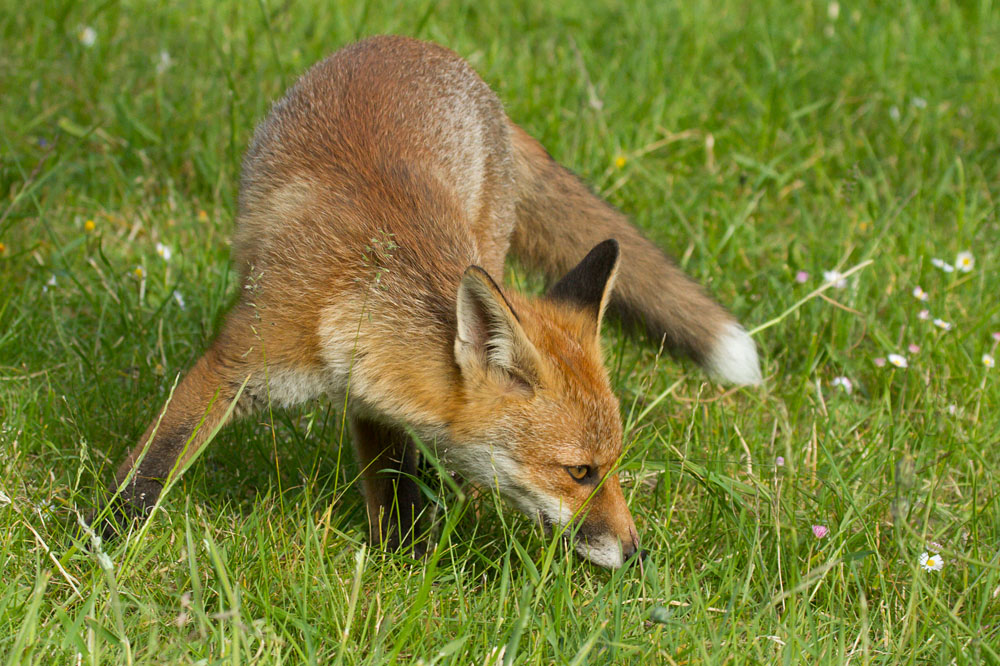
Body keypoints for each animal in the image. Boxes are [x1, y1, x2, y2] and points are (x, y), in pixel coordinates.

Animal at [96, 35, 761, 569]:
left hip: (484, 252)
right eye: (580, 472)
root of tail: (428, 48)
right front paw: (98, 542)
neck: (355, 297)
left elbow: (393, 481)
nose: (637, 552)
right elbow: (155, 464)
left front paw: (404, 565)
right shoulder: (243, 357)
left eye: (612, 464)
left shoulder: (375, 391)